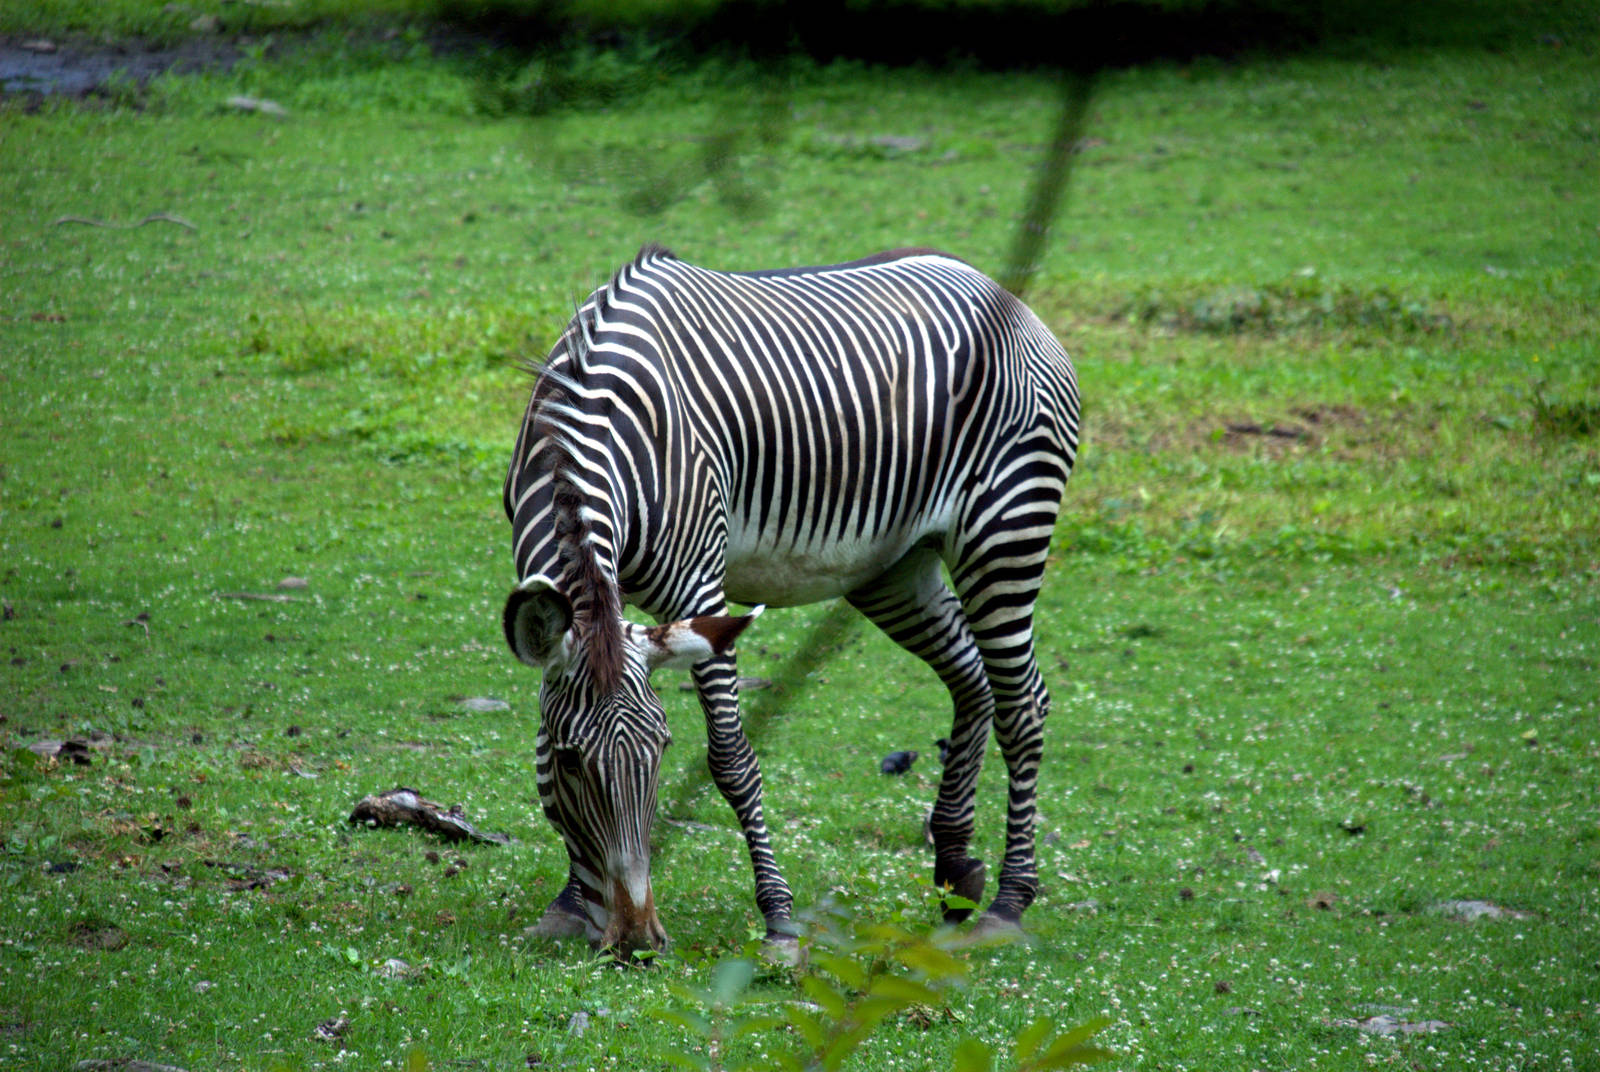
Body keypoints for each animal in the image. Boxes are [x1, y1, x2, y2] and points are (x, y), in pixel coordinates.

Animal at [502, 244, 1080, 954]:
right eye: (571, 760)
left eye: (663, 748)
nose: (636, 939)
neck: (590, 421)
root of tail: (997, 288)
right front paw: (567, 902)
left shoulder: (699, 585)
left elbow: (730, 760)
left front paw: (777, 914)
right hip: (895, 567)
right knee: (972, 679)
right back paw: (954, 869)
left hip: (1007, 529)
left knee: (1023, 703)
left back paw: (1009, 900)